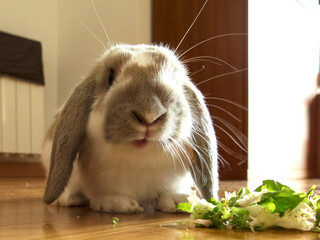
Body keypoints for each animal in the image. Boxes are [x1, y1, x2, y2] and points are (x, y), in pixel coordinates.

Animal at [41, 44, 219, 213]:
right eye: (110, 77)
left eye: (174, 78)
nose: (149, 114)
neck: (141, 159)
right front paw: (120, 204)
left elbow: (168, 193)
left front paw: (179, 202)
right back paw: (70, 199)